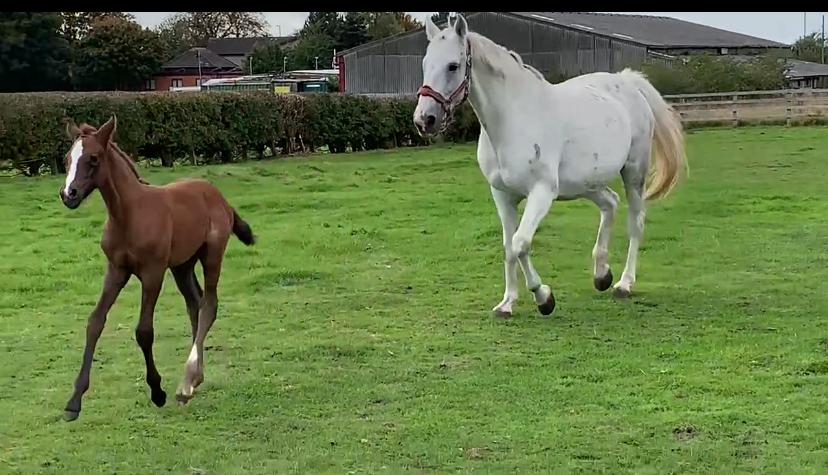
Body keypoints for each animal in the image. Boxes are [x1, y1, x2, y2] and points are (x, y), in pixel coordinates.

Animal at [58, 115, 256, 421]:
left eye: (93, 158)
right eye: (67, 159)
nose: (69, 194)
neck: (129, 214)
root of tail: (219, 196)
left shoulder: (152, 273)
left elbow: (144, 331)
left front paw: (157, 391)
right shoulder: (116, 270)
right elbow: (95, 322)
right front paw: (73, 402)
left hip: (212, 254)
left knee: (209, 304)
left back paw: (184, 386)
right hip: (183, 265)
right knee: (195, 304)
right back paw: (194, 379)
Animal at [413, 14, 687, 318]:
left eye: (453, 65)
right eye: (426, 64)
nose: (424, 120)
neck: (513, 119)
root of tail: (627, 82)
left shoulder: (542, 192)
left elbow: (520, 243)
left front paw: (544, 298)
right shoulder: (502, 195)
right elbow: (508, 246)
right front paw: (507, 303)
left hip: (633, 173)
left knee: (635, 222)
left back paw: (624, 284)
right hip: (586, 184)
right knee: (610, 203)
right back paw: (601, 275)